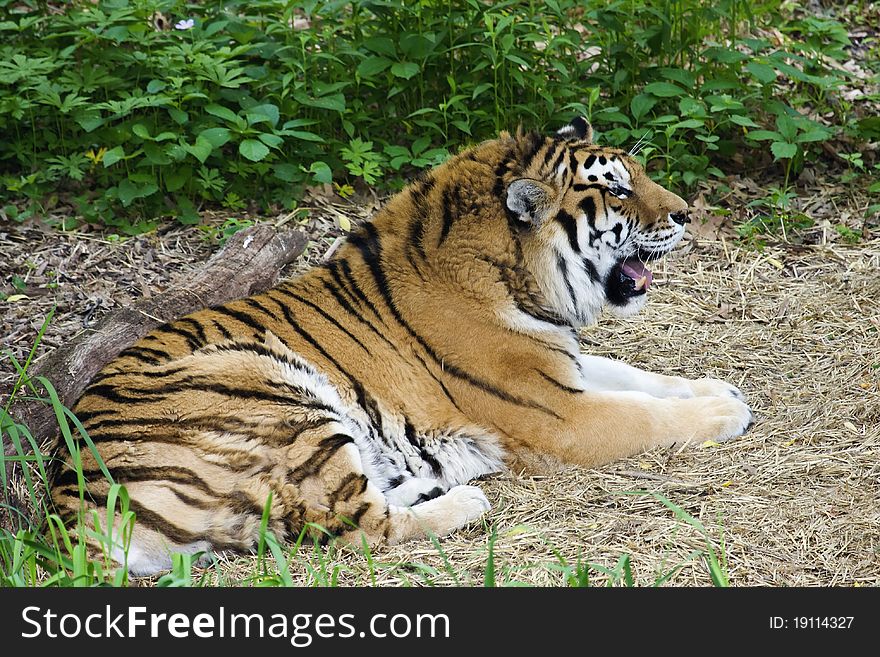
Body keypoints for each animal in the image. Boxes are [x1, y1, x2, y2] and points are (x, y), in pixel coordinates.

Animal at [49, 118, 748, 576]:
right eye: (620, 190)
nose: (687, 213)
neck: (520, 278)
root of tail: (70, 504)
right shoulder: (559, 415)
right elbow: (646, 414)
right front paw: (725, 411)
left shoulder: (562, 365)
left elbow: (638, 375)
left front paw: (717, 388)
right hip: (270, 386)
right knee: (354, 527)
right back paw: (464, 499)